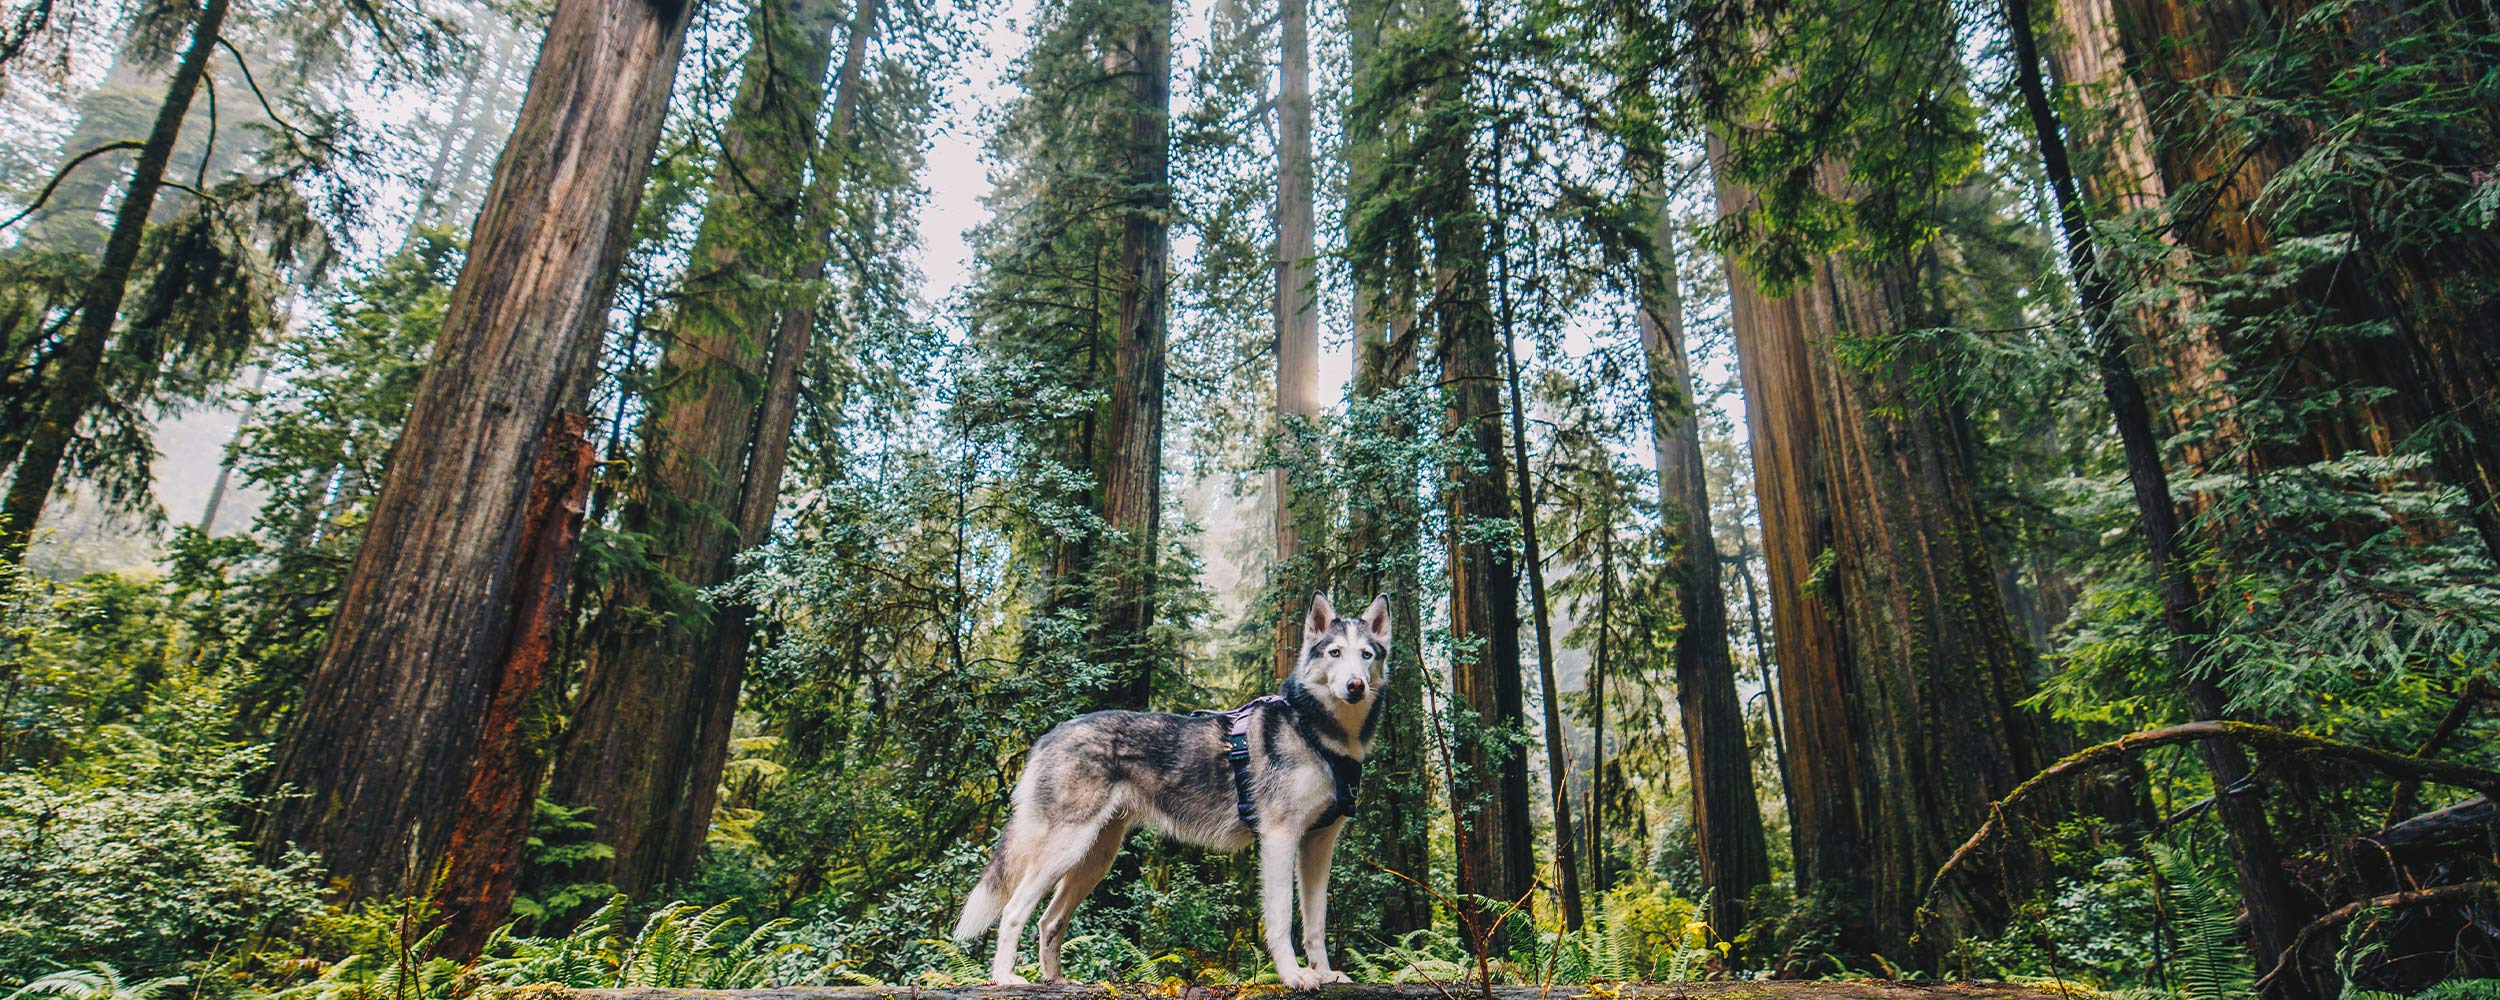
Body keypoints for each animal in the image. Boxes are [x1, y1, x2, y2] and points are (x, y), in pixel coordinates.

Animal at [950, 595, 1400, 985]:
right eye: (1334, 653)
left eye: (1367, 654)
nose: (1355, 686)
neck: (1317, 734)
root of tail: (1050, 736)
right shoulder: (1279, 839)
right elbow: (1280, 921)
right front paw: (1294, 976)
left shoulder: (1318, 846)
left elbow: (1316, 925)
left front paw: (1326, 974)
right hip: (1065, 849)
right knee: (1013, 911)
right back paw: (1004, 977)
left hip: (1094, 860)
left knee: (1049, 920)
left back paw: (1056, 981)